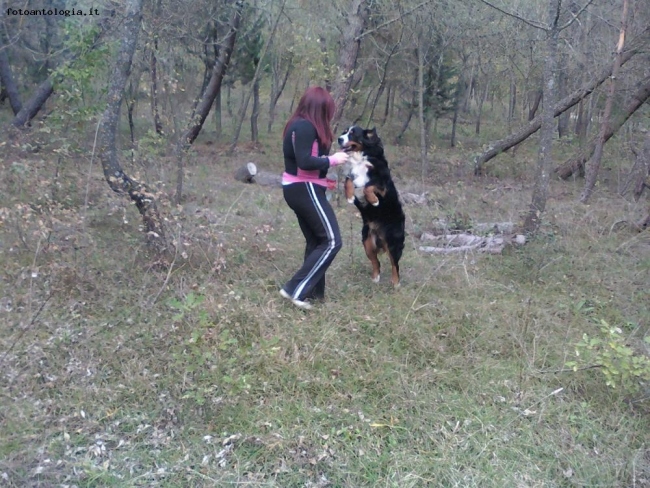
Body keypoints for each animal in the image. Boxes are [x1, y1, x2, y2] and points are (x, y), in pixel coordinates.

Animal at [336, 126, 402, 286]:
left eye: (353, 133)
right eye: (344, 131)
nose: (339, 139)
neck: (359, 158)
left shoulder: (382, 182)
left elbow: (368, 186)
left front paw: (374, 201)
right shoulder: (352, 174)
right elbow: (348, 180)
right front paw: (349, 196)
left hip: (393, 241)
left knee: (395, 264)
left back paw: (395, 283)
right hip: (367, 242)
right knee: (376, 262)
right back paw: (375, 278)